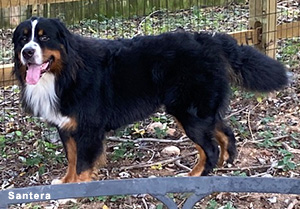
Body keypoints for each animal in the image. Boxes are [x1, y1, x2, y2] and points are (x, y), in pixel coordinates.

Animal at [12, 16, 288, 183]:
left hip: (189, 112)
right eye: (23, 38)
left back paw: (195, 176)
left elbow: (81, 164)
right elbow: (71, 160)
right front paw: (66, 184)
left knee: (208, 148)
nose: (27, 52)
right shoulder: (68, 127)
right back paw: (225, 162)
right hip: (199, 110)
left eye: (44, 37)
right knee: (224, 133)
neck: (65, 73)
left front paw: (76, 191)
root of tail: (209, 39)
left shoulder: (88, 129)